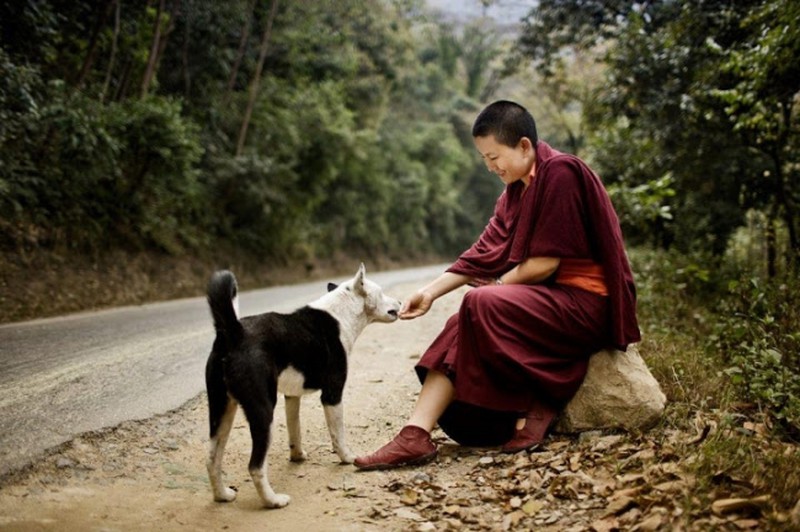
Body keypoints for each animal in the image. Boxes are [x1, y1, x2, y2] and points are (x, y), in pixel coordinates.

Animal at [205, 264, 400, 510]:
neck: (343, 312)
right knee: (255, 466)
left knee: (212, 458)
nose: (401, 302)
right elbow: (338, 434)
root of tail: (233, 332)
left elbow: (294, 429)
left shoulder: (291, 396)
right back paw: (273, 501)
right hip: (263, 412)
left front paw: (297, 456)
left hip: (221, 410)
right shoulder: (332, 395)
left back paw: (222, 495)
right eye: (382, 293)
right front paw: (347, 458)